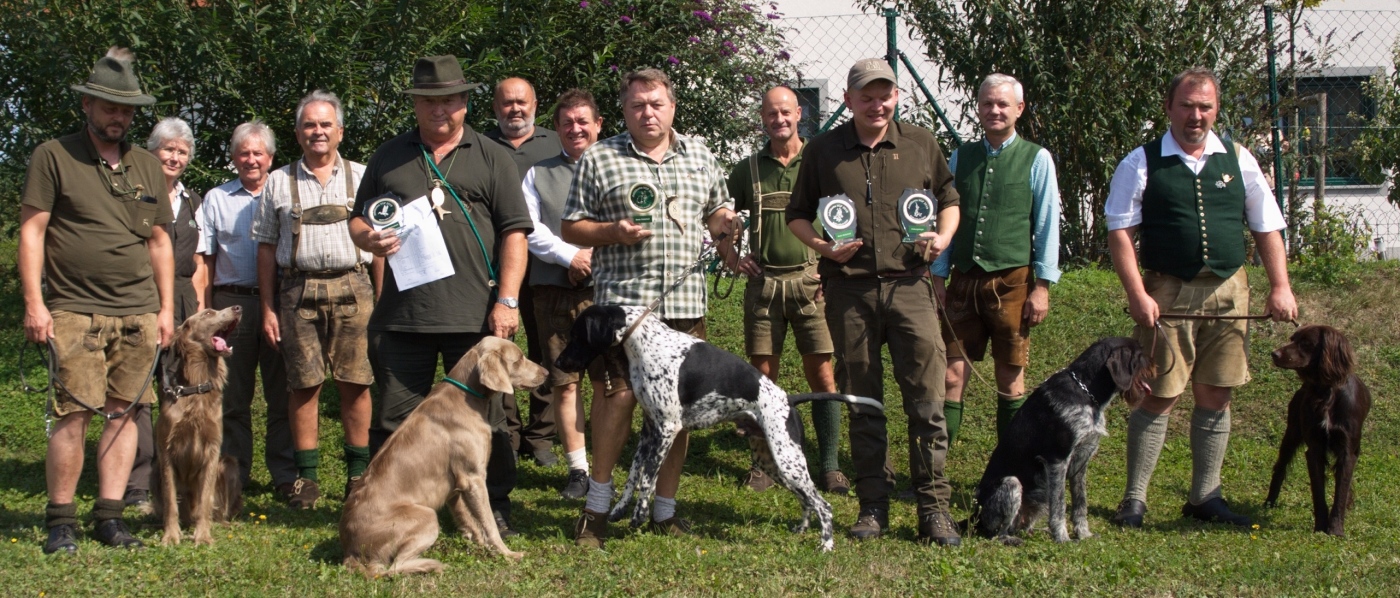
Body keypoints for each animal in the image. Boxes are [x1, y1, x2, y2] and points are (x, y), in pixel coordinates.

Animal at [153, 306, 243, 546]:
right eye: (208, 313)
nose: (238, 308)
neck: (197, 387)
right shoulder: (166, 451)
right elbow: (170, 501)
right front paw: (171, 536)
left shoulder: (212, 449)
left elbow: (205, 500)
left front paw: (203, 536)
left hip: (229, 463)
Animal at [338, 337, 546, 576]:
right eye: (519, 359)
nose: (547, 372)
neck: (467, 397)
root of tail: (349, 551)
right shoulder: (473, 477)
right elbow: (489, 523)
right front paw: (507, 553)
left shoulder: (455, 485)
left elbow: (468, 519)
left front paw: (478, 543)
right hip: (426, 515)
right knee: (395, 566)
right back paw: (432, 564)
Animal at [554, 303, 873, 551]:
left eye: (577, 335)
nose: (557, 363)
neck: (646, 342)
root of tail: (788, 399)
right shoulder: (649, 430)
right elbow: (634, 474)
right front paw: (620, 509)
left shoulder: (666, 429)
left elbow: (647, 480)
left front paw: (639, 515)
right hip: (775, 464)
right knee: (807, 501)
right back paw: (802, 530)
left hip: (788, 461)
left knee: (824, 505)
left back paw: (826, 545)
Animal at [968, 337, 1153, 548]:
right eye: (1140, 355)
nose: (1158, 366)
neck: (1086, 391)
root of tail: (974, 517)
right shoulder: (1057, 461)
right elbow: (1060, 506)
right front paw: (1063, 538)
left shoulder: (1081, 462)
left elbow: (1080, 504)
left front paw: (1084, 534)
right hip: (1012, 484)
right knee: (997, 533)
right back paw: (1011, 539)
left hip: (1040, 497)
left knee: (1023, 526)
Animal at [1265, 327, 1372, 537]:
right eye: (1292, 339)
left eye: (1306, 343)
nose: (1274, 353)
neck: (1326, 392)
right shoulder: (1314, 448)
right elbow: (1318, 491)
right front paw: (1321, 527)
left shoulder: (1348, 450)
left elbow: (1341, 489)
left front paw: (1336, 529)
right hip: (1292, 432)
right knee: (1280, 467)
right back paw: (1269, 503)